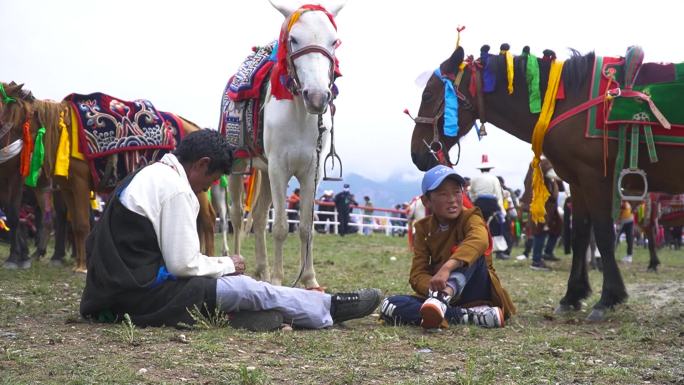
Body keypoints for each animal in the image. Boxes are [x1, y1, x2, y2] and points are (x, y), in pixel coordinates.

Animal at [412, 45, 684, 320]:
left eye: (428, 94)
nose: (417, 154)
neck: (569, 101)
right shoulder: (578, 182)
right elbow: (580, 234)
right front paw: (573, 295)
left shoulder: (595, 177)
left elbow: (604, 234)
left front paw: (608, 298)